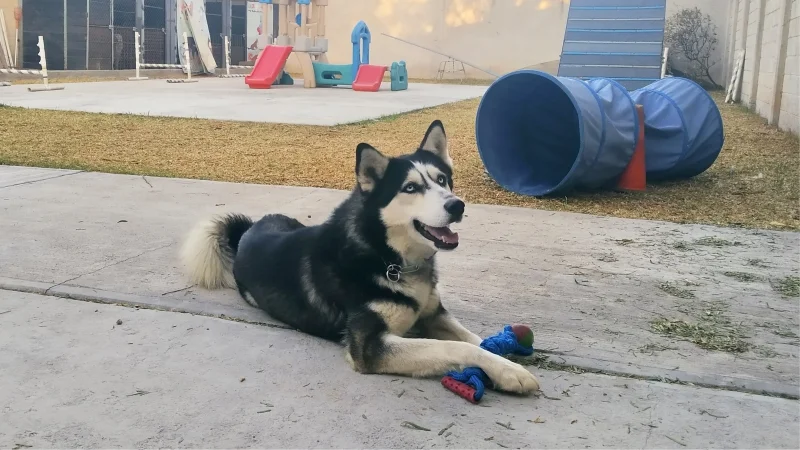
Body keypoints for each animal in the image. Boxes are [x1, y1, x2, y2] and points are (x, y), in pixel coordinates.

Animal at [181, 120, 540, 394]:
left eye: (442, 180)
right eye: (410, 188)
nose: (457, 205)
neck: (388, 258)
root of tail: (250, 229)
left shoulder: (434, 315)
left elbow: (477, 340)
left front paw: (504, 359)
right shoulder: (370, 348)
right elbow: (457, 347)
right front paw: (510, 372)